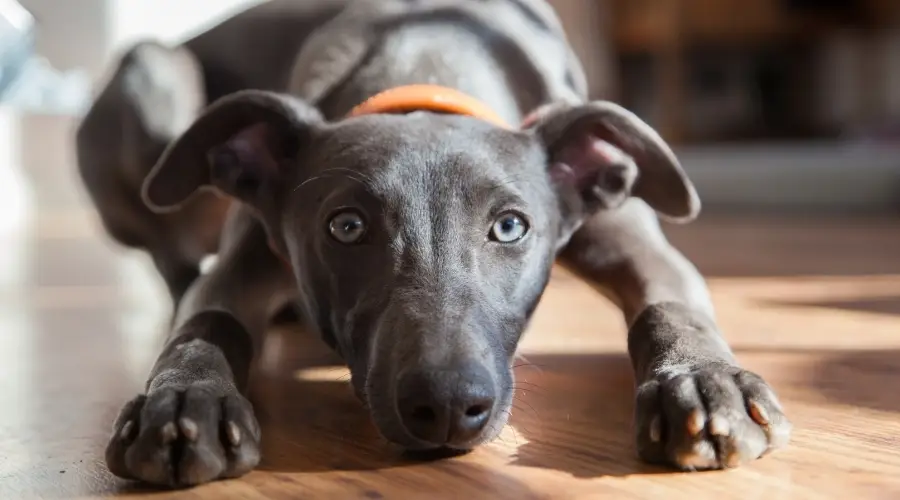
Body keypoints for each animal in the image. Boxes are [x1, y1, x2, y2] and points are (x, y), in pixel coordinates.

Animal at [79, 0, 796, 486]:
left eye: (510, 226)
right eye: (346, 226)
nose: (449, 407)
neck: (428, 58)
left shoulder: (628, 235)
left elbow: (672, 303)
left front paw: (701, 381)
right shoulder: (250, 249)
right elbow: (203, 320)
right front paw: (184, 398)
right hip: (152, 85)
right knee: (174, 263)